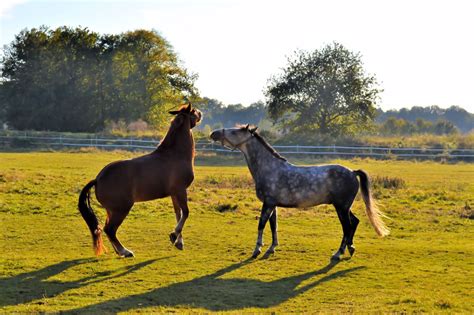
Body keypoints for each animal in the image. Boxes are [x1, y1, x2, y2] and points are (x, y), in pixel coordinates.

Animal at [78, 103, 201, 256]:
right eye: (193, 111)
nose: (200, 113)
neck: (175, 155)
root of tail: (98, 179)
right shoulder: (180, 190)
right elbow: (186, 213)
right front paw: (174, 235)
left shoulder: (174, 194)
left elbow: (178, 214)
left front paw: (178, 241)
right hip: (121, 209)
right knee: (110, 229)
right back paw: (125, 251)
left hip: (111, 210)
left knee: (108, 229)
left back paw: (119, 251)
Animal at [211, 126, 388, 262]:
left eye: (235, 132)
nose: (214, 133)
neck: (270, 169)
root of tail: (352, 172)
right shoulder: (273, 205)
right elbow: (273, 225)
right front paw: (271, 248)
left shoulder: (268, 204)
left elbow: (261, 225)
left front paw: (257, 250)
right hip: (344, 207)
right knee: (354, 223)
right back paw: (350, 248)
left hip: (341, 208)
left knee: (347, 227)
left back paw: (338, 253)